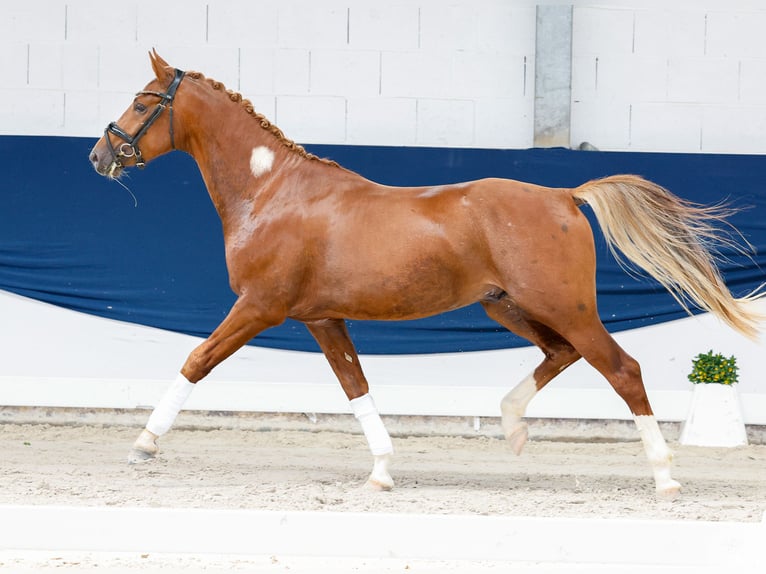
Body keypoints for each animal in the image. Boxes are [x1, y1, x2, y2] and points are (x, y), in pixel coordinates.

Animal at [89, 50, 763, 499]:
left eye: (144, 102)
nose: (99, 156)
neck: (272, 193)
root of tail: (565, 195)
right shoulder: (321, 318)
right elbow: (355, 387)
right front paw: (382, 471)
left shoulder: (260, 306)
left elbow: (195, 361)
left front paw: (143, 444)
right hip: (508, 305)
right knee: (561, 354)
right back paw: (512, 428)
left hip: (562, 305)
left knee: (621, 368)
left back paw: (665, 477)